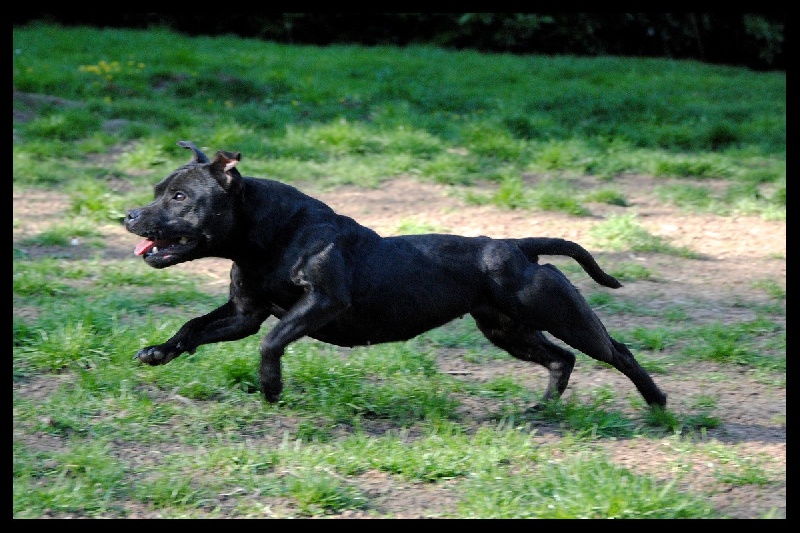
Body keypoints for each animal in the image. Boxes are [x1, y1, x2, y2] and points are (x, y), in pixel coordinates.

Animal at [125, 141, 667, 409]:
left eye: (180, 196)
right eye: (157, 190)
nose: (128, 215)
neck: (268, 234)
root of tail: (517, 246)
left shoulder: (321, 303)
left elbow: (272, 342)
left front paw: (272, 388)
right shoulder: (244, 312)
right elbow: (194, 327)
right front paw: (158, 352)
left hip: (563, 315)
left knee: (616, 352)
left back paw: (657, 402)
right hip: (507, 330)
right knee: (560, 360)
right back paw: (543, 409)